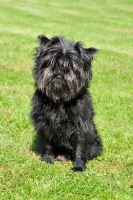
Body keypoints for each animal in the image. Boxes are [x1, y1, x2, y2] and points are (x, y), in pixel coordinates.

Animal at [30, 35, 102, 171]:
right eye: (51, 62)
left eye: (71, 66)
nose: (60, 69)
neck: (60, 101)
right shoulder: (44, 123)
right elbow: (46, 143)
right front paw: (47, 159)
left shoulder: (81, 126)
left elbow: (80, 146)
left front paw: (78, 166)